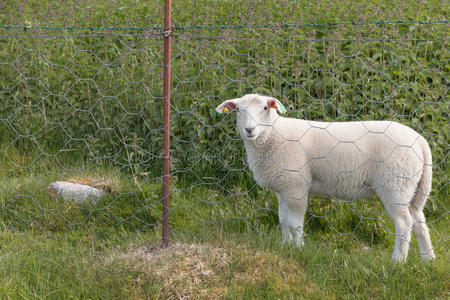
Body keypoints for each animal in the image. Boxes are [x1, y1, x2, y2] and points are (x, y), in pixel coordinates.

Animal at [217, 94, 436, 260]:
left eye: (264, 108)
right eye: (238, 110)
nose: (249, 130)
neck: (273, 135)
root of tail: (420, 141)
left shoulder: (296, 187)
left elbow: (295, 224)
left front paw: (298, 249)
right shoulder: (283, 187)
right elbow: (283, 220)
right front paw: (285, 246)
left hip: (395, 185)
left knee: (404, 224)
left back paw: (398, 260)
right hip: (411, 187)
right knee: (419, 221)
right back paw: (428, 259)